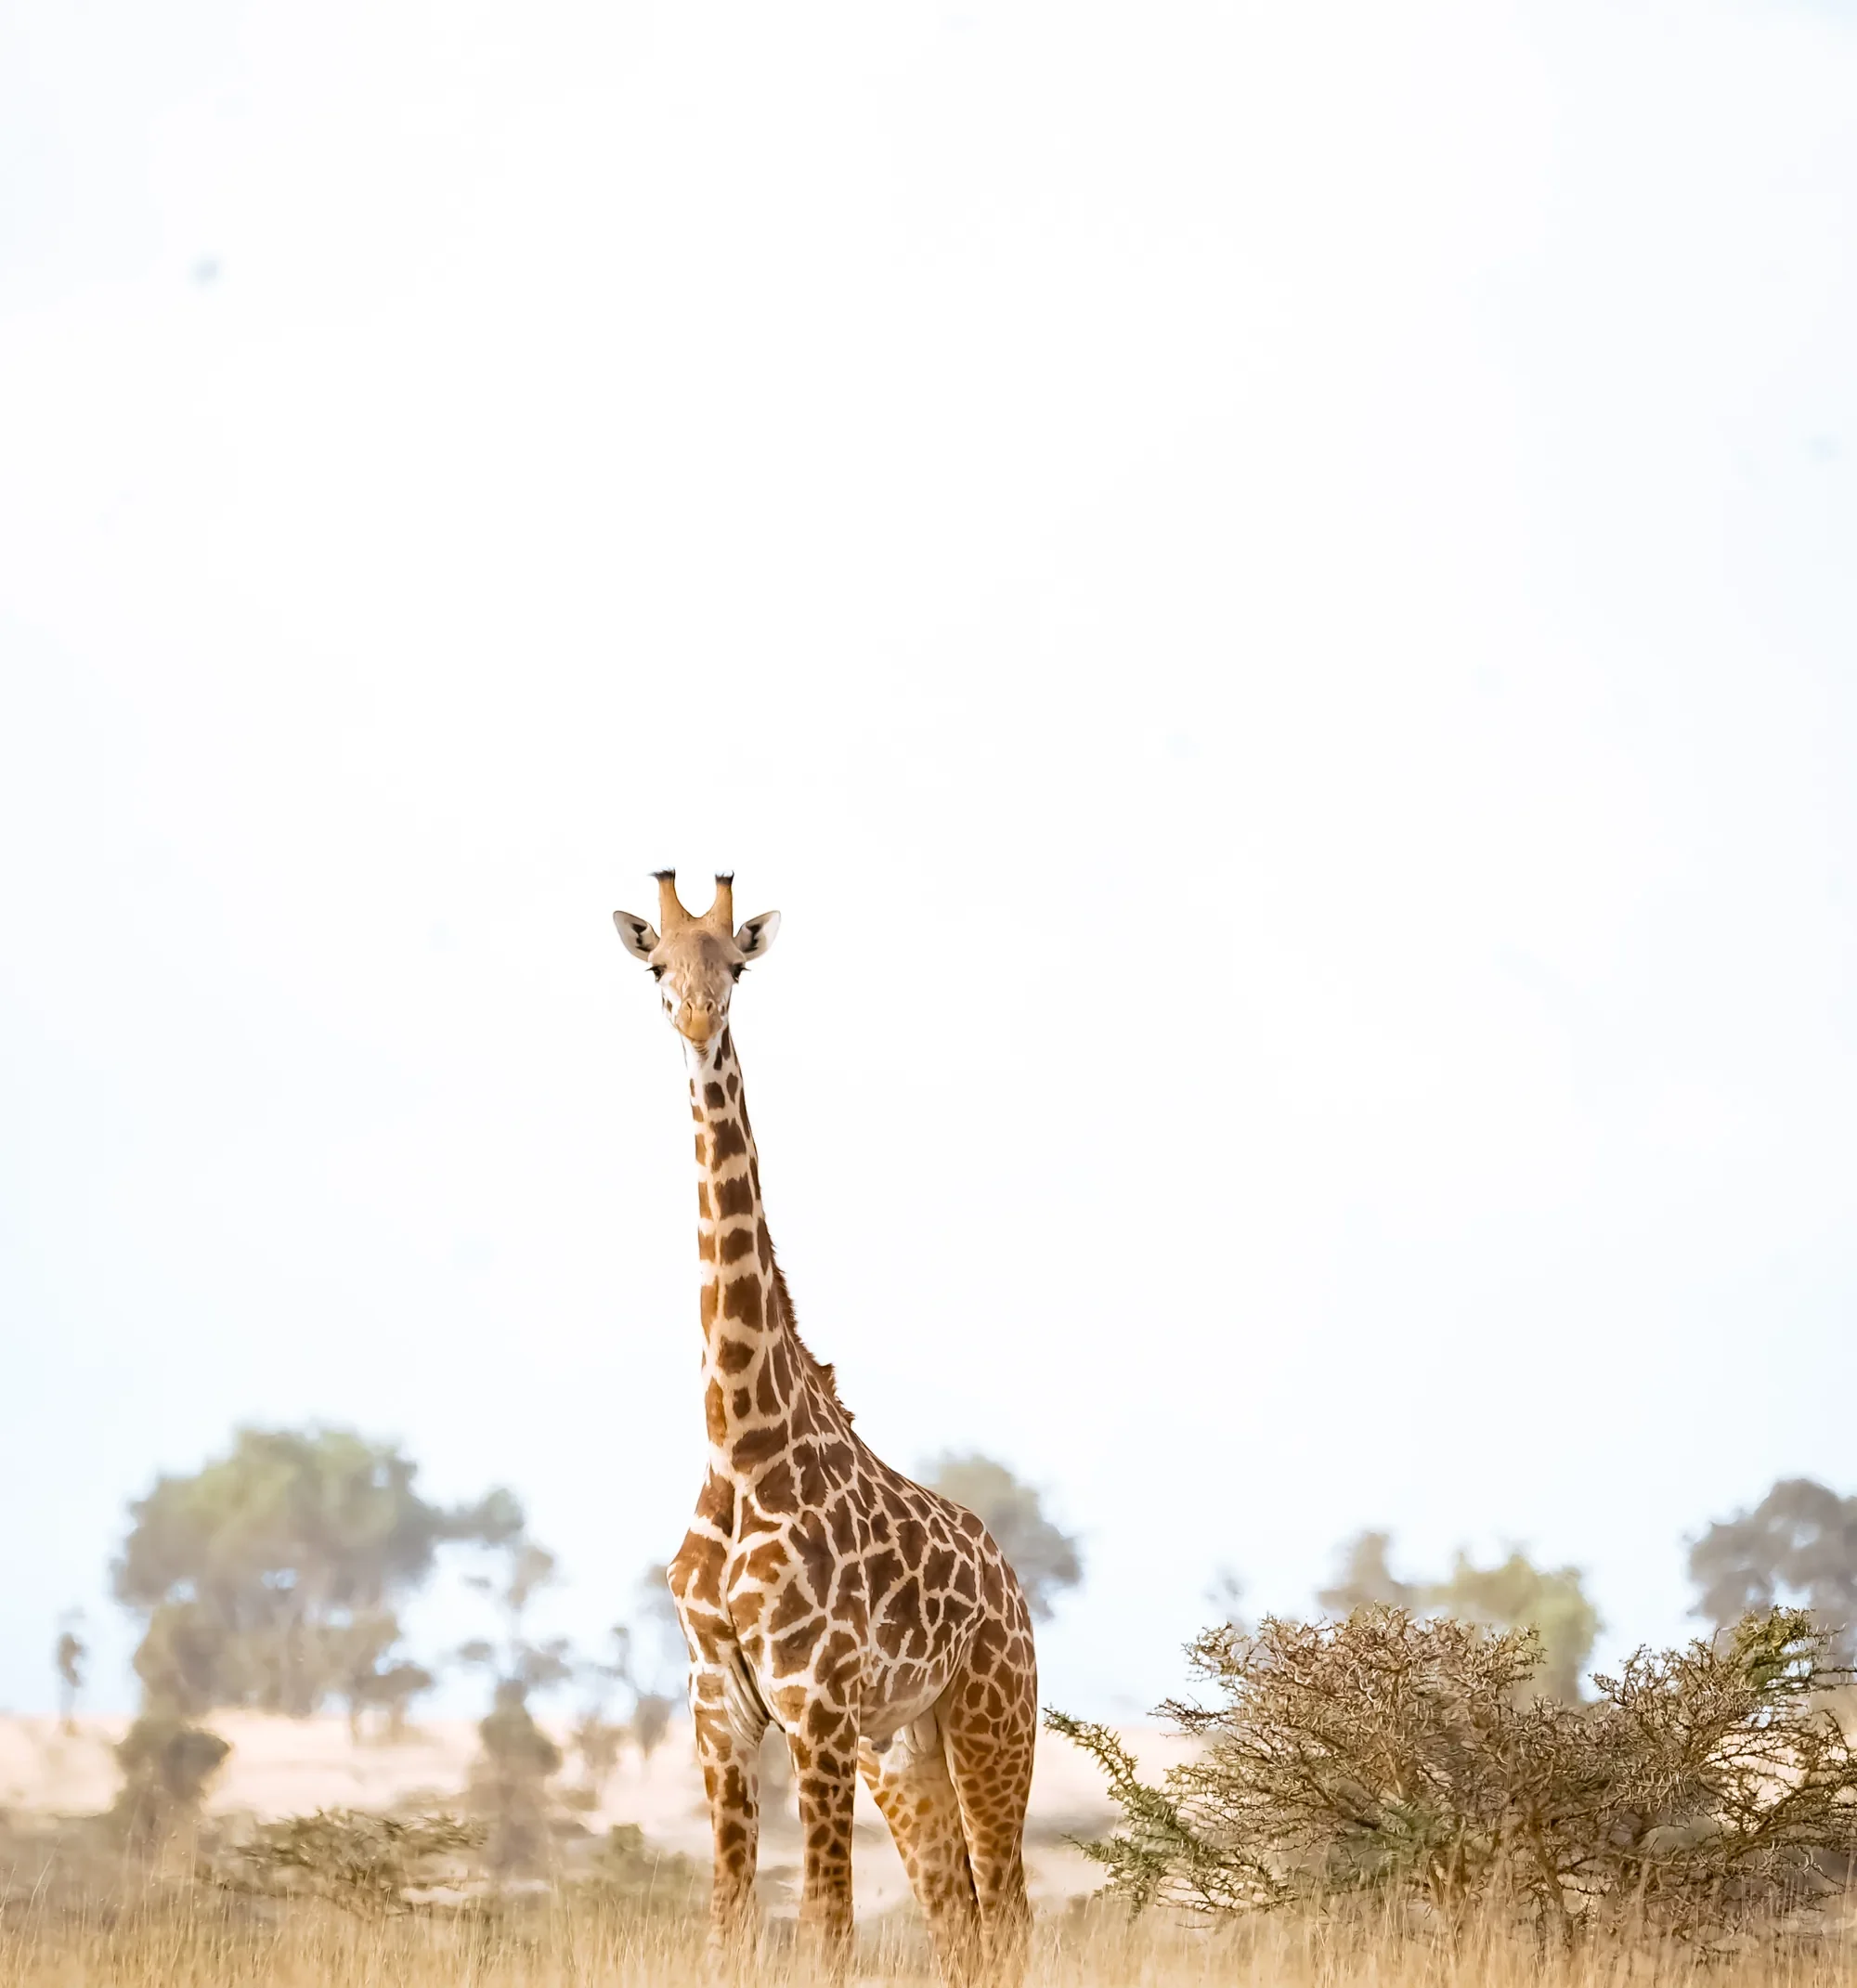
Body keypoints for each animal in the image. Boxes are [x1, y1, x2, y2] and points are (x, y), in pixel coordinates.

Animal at [612, 872, 1037, 1984]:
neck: (739, 1444)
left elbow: (825, 1929)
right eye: (657, 961)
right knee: (958, 1919)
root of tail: (1011, 1584)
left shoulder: (815, 1703)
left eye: (736, 963)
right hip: (904, 1749)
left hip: (991, 1719)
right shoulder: (718, 1706)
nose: (697, 1016)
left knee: (1008, 1913)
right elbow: (727, 1926)